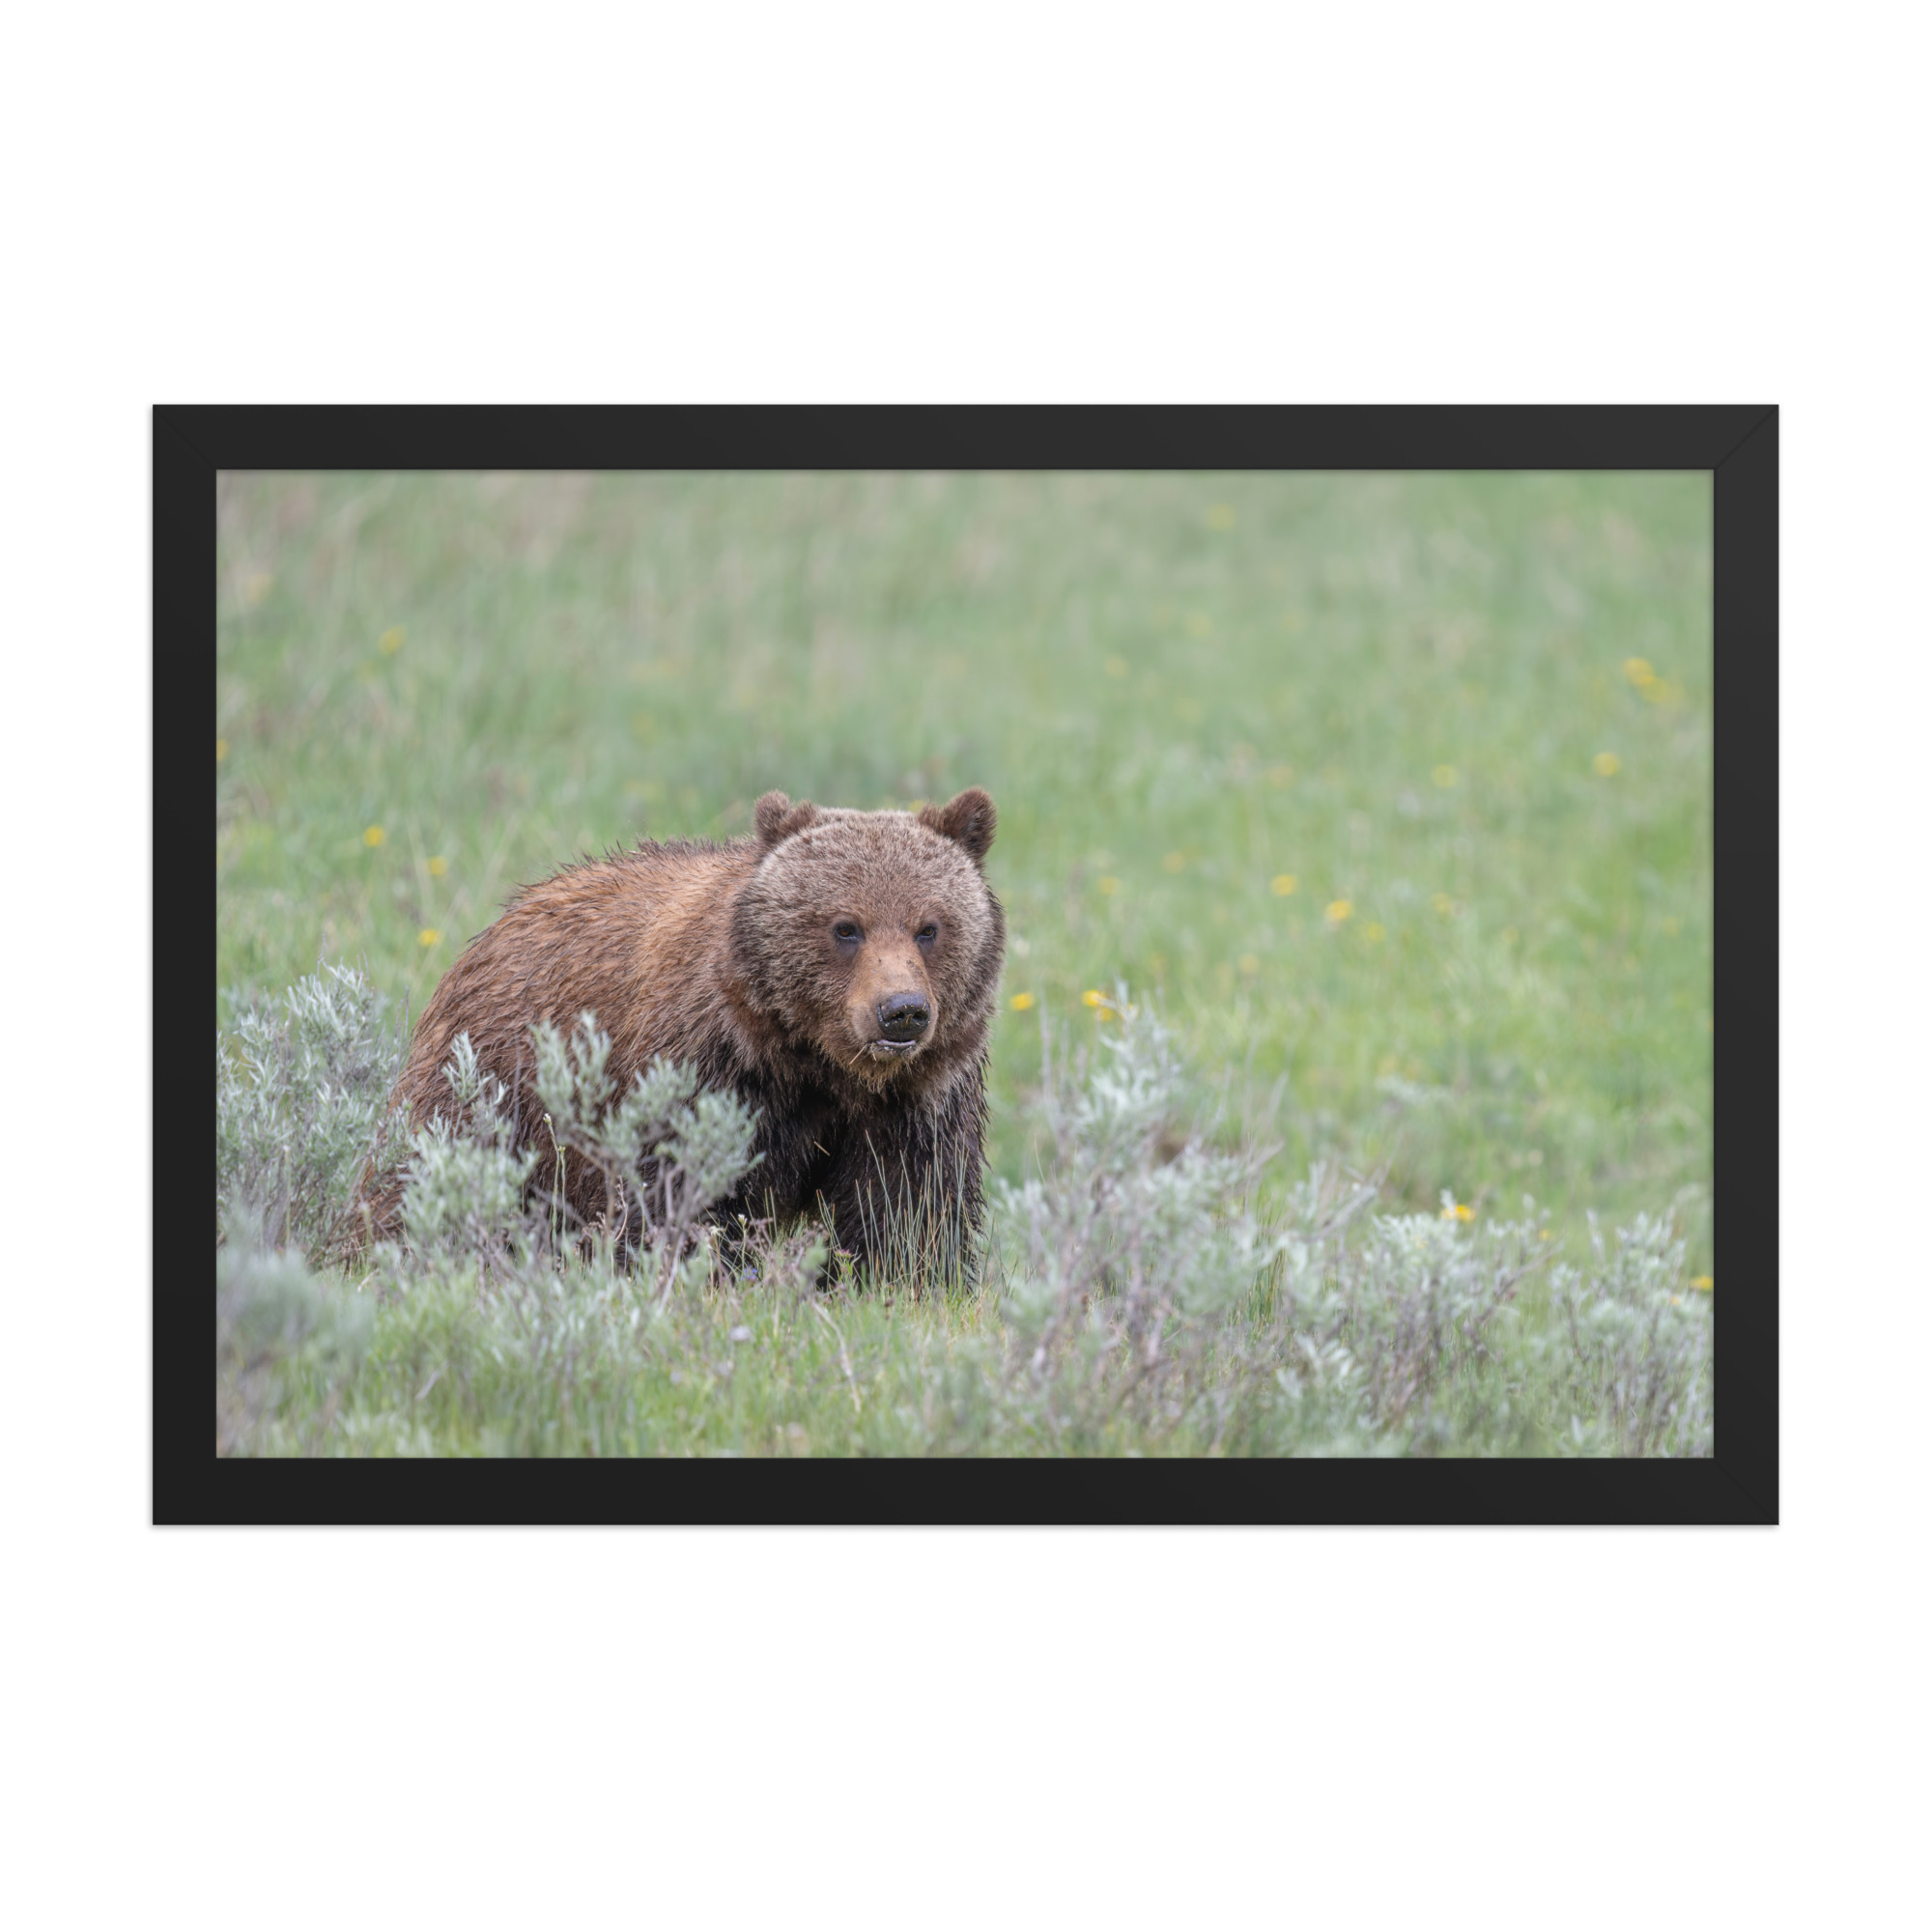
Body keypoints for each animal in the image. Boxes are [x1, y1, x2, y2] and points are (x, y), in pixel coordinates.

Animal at [355, 787, 1005, 1280]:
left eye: (929, 927)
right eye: (846, 927)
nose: (901, 1011)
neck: (818, 1064)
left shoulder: (916, 1101)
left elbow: (907, 1210)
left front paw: (899, 1281)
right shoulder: (708, 1070)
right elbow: (677, 1194)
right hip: (492, 1083)